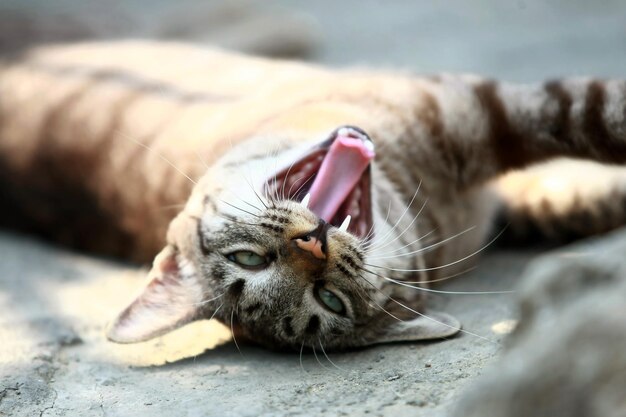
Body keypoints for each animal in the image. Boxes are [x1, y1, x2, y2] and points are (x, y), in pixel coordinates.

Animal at [0, 40, 620, 350]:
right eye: (330, 301)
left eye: (246, 258)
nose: (313, 244)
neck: (436, 202)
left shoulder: (476, 115)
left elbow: (588, 121)